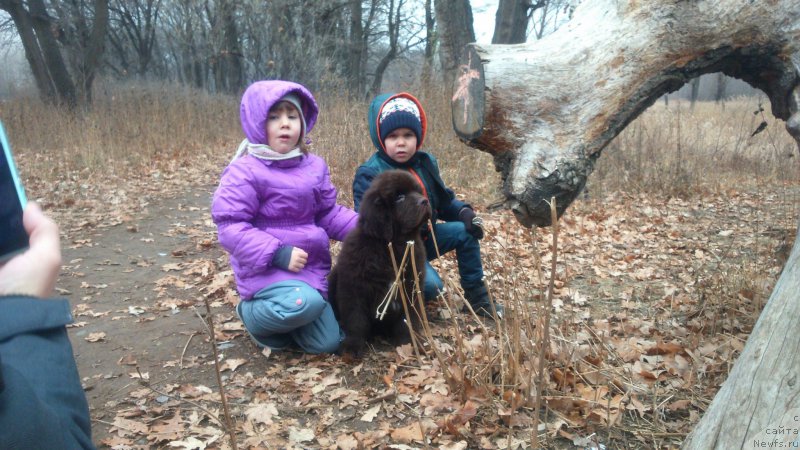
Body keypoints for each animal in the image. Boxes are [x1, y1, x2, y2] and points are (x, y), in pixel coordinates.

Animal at [330, 170, 434, 358]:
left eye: (417, 191)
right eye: (399, 197)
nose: (425, 201)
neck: (392, 246)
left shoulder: (410, 286)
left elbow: (407, 319)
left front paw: (409, 343)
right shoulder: (354, 288)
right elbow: (356, 320)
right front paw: (352, 346)